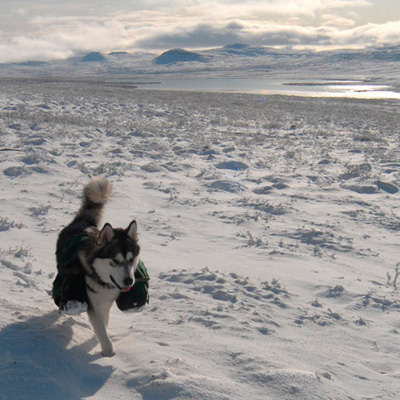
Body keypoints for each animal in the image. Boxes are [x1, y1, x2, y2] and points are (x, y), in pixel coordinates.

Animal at [55, 178, 141, 356]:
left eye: (131, 259)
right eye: (115, 261)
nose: (129, 281)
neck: (103, 282)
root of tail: (82, 222)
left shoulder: (106, 302)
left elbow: (104, 324)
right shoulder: (93, 305)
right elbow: (101, 328)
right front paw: (108, 352)